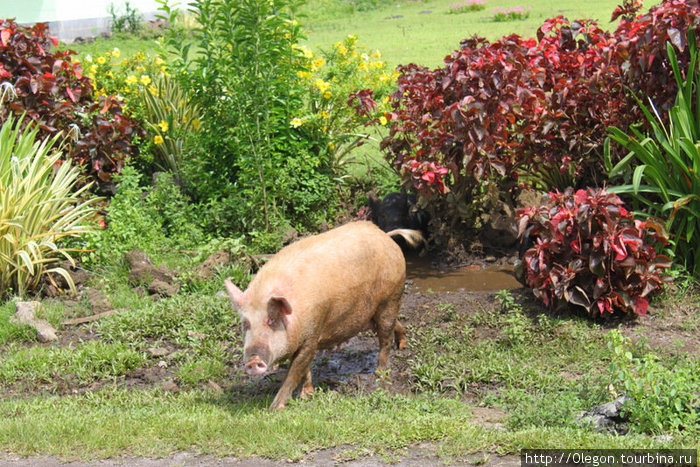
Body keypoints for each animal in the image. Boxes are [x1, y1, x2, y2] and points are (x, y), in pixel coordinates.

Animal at [224, 221, 422, 412]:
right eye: (246, 324)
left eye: (271, 320)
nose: (252, 361)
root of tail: (385, 236)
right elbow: (305, 370)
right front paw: (306, 395)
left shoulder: (312, 334)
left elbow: (294, 372)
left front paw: (274, 409)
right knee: (394, 325)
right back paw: (402, 345)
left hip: (391, 298)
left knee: (385, 338)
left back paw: (380, 373)